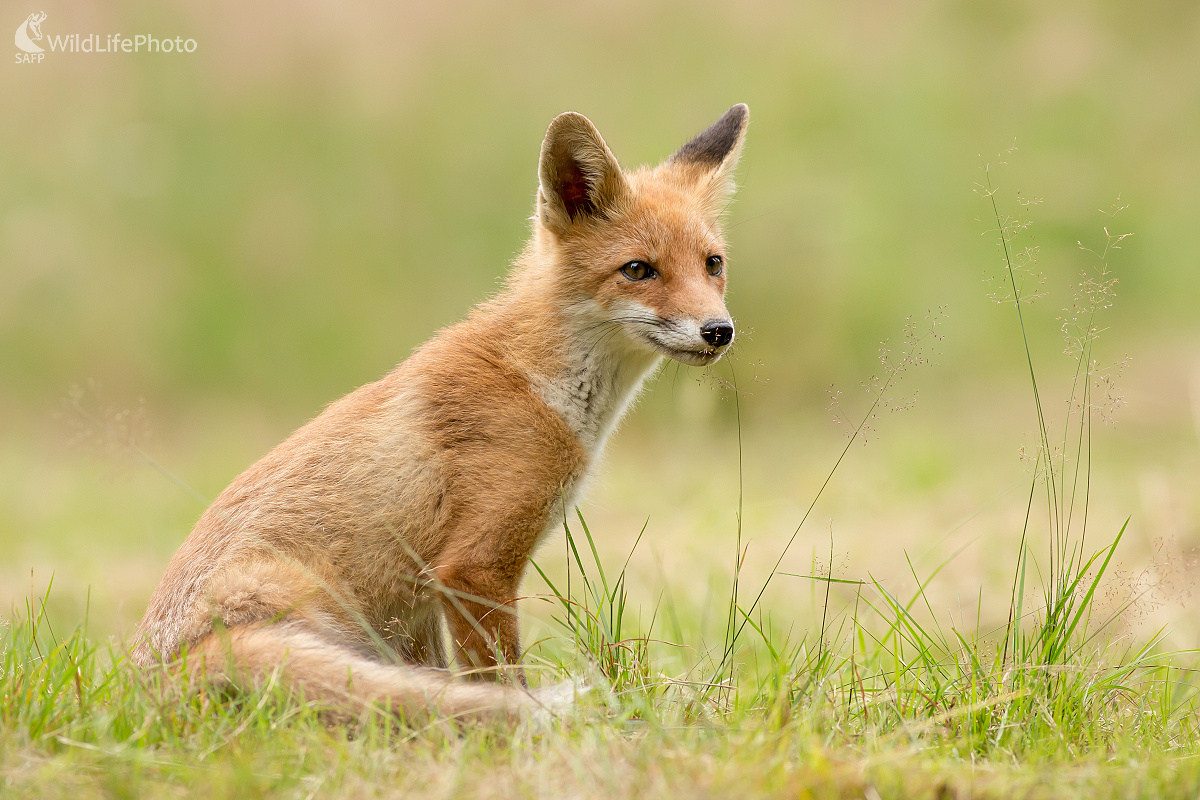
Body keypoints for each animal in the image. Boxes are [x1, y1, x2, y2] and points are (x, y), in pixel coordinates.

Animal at [131, 103, 748, 724]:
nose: (718, 331)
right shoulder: (473, 568)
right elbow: (500, 680)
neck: (537, 384)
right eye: (639, 270)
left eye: (713, 264)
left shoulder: (424, 603)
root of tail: (151, 681)